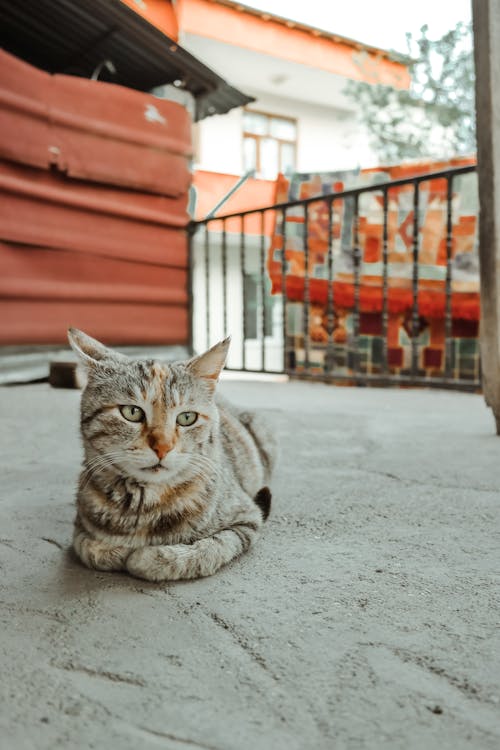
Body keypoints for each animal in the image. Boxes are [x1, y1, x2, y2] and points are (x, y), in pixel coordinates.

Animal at [67, 332, 278, 584]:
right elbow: (88, 547)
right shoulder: (79, 526)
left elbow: (205, 550)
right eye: (131, 412)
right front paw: (115, 551)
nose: (162, 447)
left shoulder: (245, 519)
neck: (144, 502)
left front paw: (147, 558)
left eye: (187, 417)